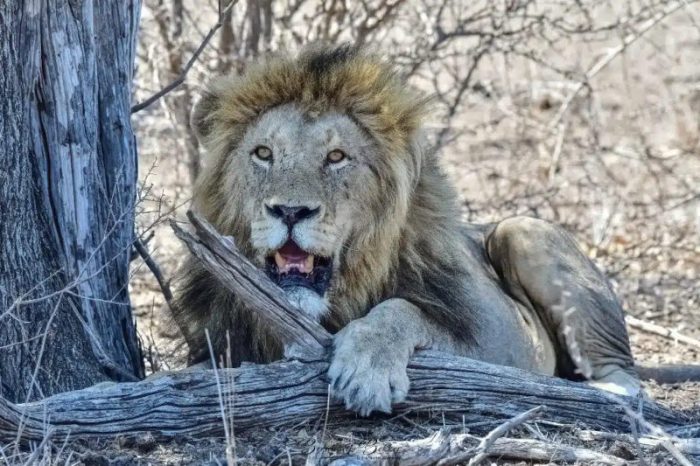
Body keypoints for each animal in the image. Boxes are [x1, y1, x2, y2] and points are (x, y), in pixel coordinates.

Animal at [172, 44, 696, 416]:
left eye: (337, 157)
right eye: (263, 153)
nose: (290, 211)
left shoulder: (499, 343)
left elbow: (403, 309)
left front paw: (366, 370)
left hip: (523, 231)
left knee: (624, 374)